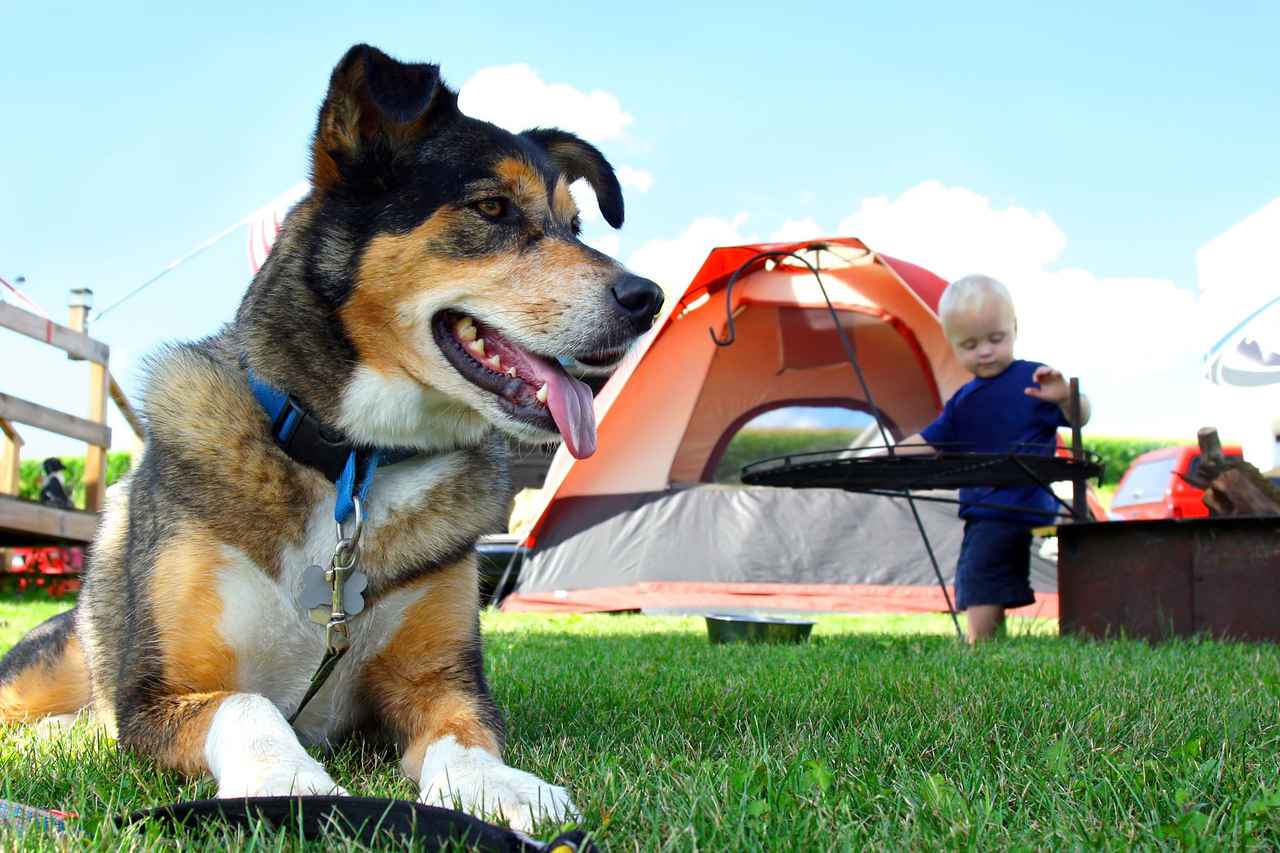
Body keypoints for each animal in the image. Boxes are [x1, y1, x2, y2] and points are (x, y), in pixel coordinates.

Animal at [0, 43, 660, 824]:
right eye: (492, 207)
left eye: (576, 228)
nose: (648, 298)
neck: (351, 464)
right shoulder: (155, 699)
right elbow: (248, 705)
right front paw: (287, 780)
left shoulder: (439, 679)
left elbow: (464, 734)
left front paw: (499, 786)